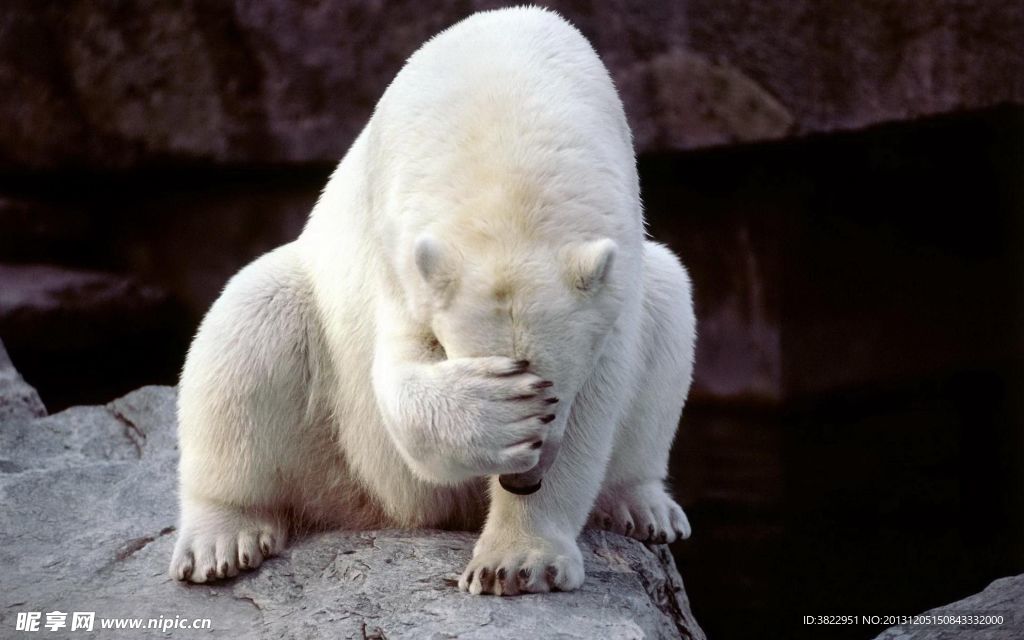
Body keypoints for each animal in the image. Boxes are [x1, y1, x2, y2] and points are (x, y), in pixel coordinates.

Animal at [169, 6, 696, 596]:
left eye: (555, 391)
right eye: (521, 382)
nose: (522, 481)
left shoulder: (616, 269)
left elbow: (599, 398)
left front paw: (516, 562)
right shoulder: (398, 249)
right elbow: (397, 378)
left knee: (669, 302)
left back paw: (643, 505)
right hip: (330, 434)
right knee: (250, 324)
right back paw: (221, 539)